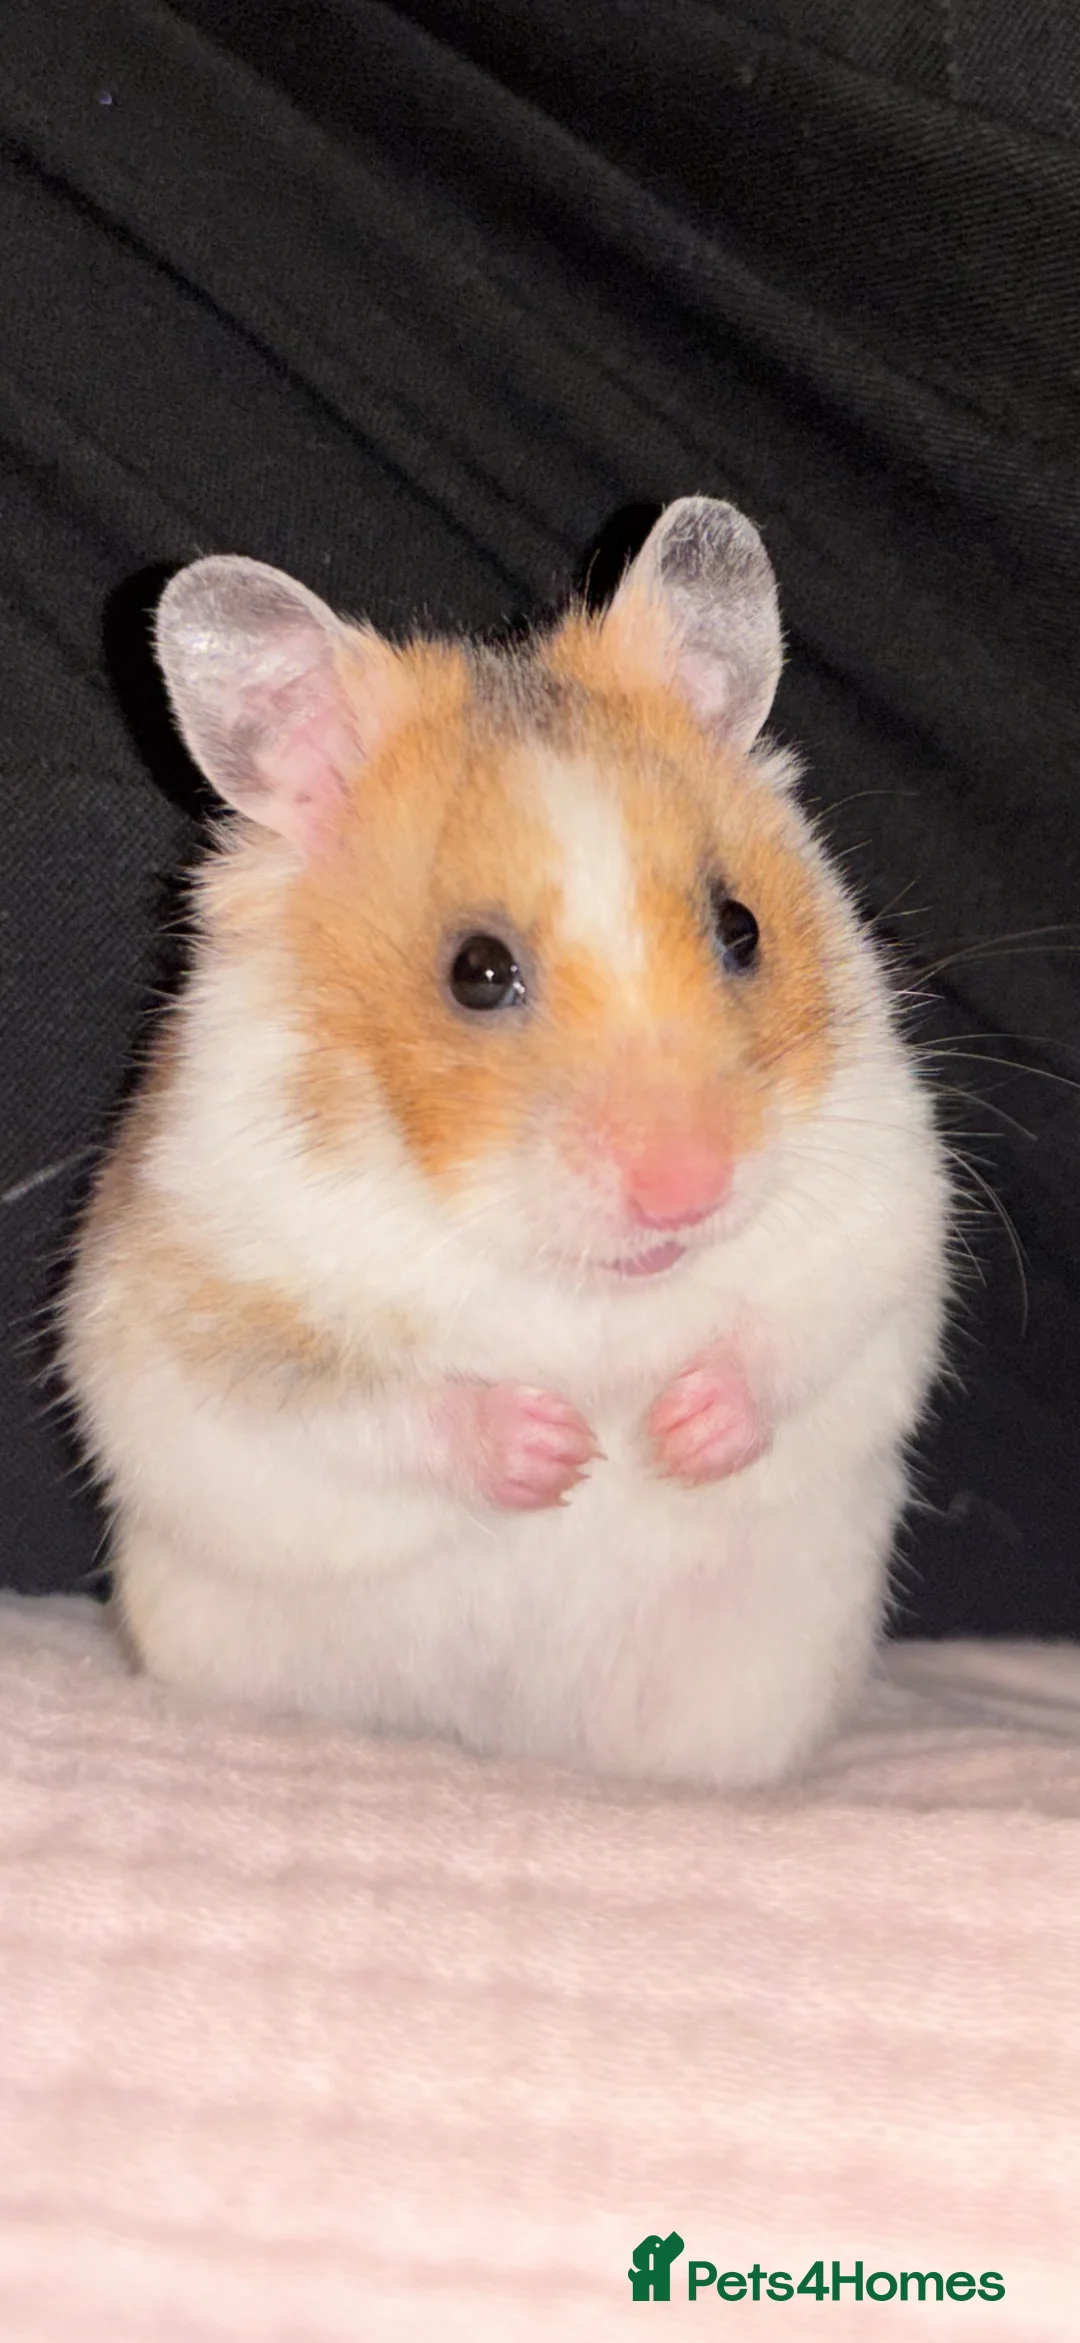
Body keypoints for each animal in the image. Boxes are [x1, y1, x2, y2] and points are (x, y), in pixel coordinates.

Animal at [61, 497, 950, 1788]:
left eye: (741, 927)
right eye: (475, 973)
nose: (688, 1191)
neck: (577, 1280)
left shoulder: (881, 1205)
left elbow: (796, 1333)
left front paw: (672, 1432)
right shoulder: (215, 1287)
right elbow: (353, 1406)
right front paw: (561, 1448)